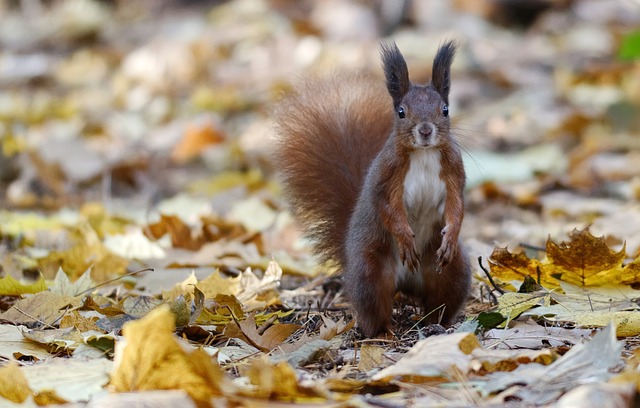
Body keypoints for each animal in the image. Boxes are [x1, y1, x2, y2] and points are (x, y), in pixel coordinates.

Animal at [272, 41, 472, 338]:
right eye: (401, 112)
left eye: (445, 109)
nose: (425, 130)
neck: (424, 154)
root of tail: (406, 284)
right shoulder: (385, 177)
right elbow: (386, 207)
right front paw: (405, 239)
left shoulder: (455, 174)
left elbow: (456, 205)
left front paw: (451, 236)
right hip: (371, 273)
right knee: (373, 310)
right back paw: (385, 333)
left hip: (453, 272)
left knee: (439, 301)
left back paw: (437, 323)